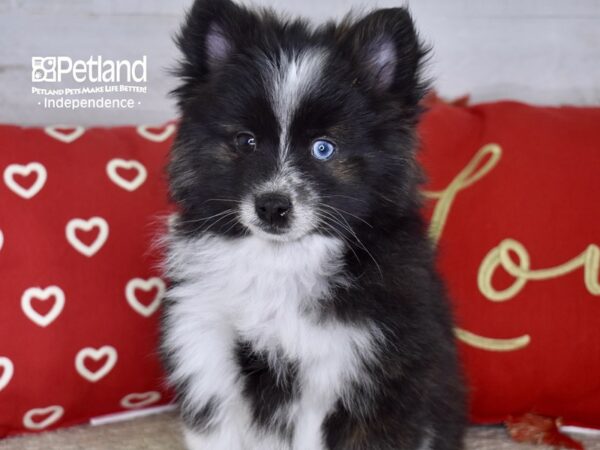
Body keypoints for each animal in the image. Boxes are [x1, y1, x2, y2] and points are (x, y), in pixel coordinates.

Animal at [162, 0, 466, 450]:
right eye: (246, 142)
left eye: (324, 148)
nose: (272, 206)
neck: (281, 260)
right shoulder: (207, 352)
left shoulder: (353, 372)